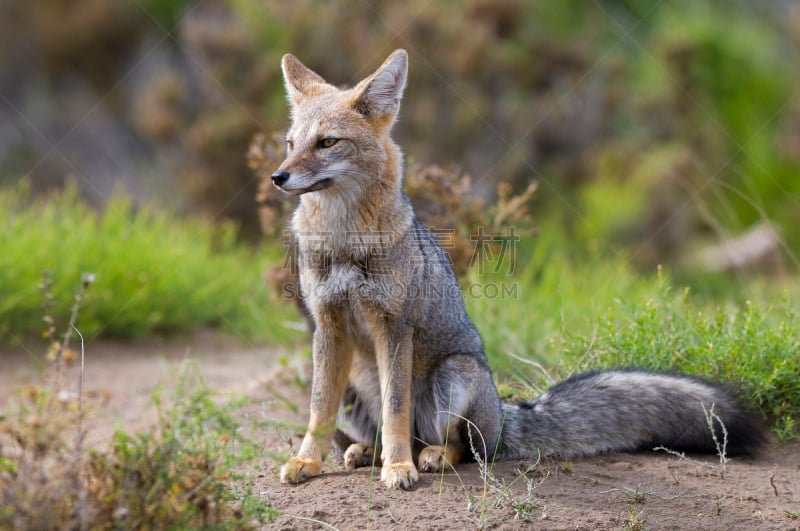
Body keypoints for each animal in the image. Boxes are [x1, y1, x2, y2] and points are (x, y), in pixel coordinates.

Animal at [272, 50, 764, 490]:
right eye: (291, 144)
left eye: (327, 142)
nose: (277, 177)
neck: (343, 241)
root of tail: (505, 413)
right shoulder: (328, 326)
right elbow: (318, 411)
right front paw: (306, 462)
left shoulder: (394, 328)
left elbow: (395, 412)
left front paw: (398, 470)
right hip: (355, 384)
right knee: (379, 431)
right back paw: (364, 452)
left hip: (454, 377)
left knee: (460, 447)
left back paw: (424, 457)